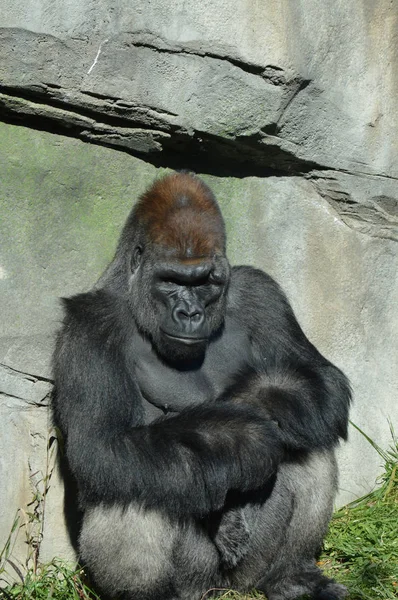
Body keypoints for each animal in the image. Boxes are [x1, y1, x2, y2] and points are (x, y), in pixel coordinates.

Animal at [52, 172, 348, 600]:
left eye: (207, 281)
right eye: (171, 281)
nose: (189, 313)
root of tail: (217, 589)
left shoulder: (260, 292)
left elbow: (320, 378)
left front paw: (254, 404)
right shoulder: (88, 326)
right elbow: (102, 444)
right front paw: (240, 437)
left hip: (244, 574)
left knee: (306, 436)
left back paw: (290, 575)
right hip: (193, 579)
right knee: (132, 485)